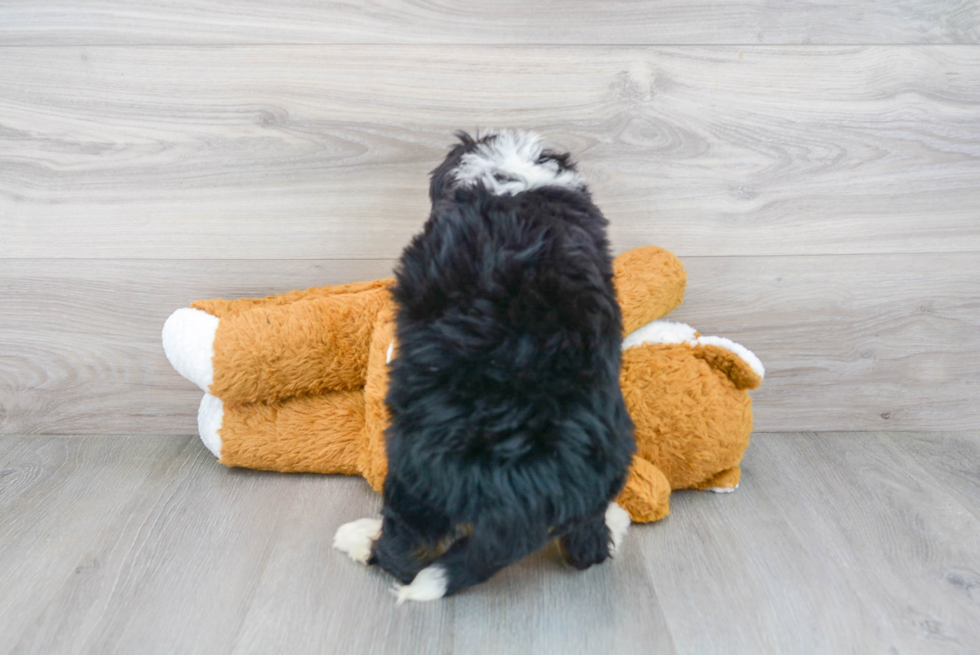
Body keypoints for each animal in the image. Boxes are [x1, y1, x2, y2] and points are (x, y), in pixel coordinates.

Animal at [332, 129, 636, 604]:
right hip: (609, 456)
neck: (515, 182)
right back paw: (615, 525)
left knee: (405, 547)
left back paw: (363, 540)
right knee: (587, 544)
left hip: (414, 468)